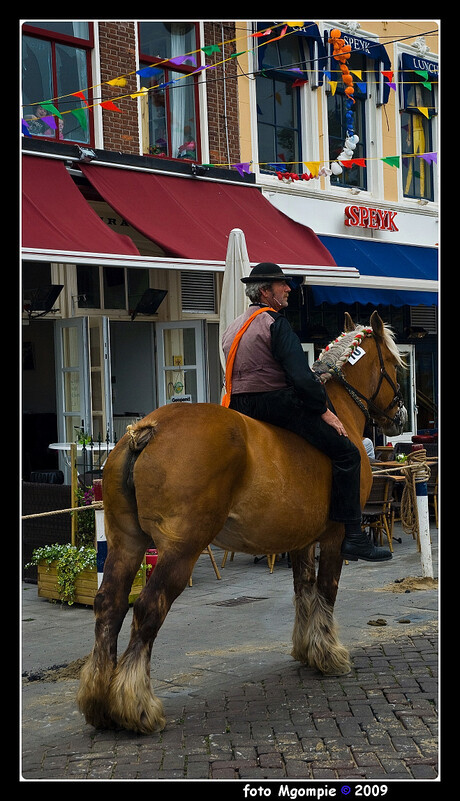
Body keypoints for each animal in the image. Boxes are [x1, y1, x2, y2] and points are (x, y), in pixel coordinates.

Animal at [78, 310, 406, 732]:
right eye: (396, 364)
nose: (400, 416)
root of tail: (148, 430)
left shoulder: (302, 539)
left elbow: (304, 591)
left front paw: (308, 649)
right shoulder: (333, 536)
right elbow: (326, 591)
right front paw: (329, 654)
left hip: (127, 543)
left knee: (110, 604)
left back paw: (99, 700)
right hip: (180, 549)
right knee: (148, 607)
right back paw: (136, 704)